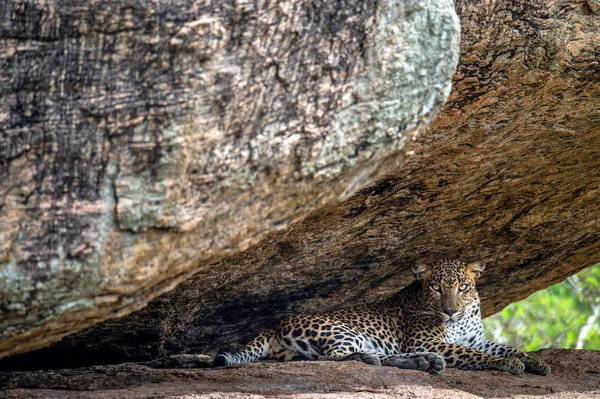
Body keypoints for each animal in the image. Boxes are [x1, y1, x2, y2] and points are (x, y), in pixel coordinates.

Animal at [213, 260, 552, 376]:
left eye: (463, 287)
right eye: (436, 287)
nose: (450, 311)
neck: (463, 318)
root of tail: (274, 324)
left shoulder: (477, 339)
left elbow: (507, 347)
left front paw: (536, 361)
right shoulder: (432, 340)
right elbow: (475, 355)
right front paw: (508, 365)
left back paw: (424, 362)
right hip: (344, 333)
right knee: (331, 358)